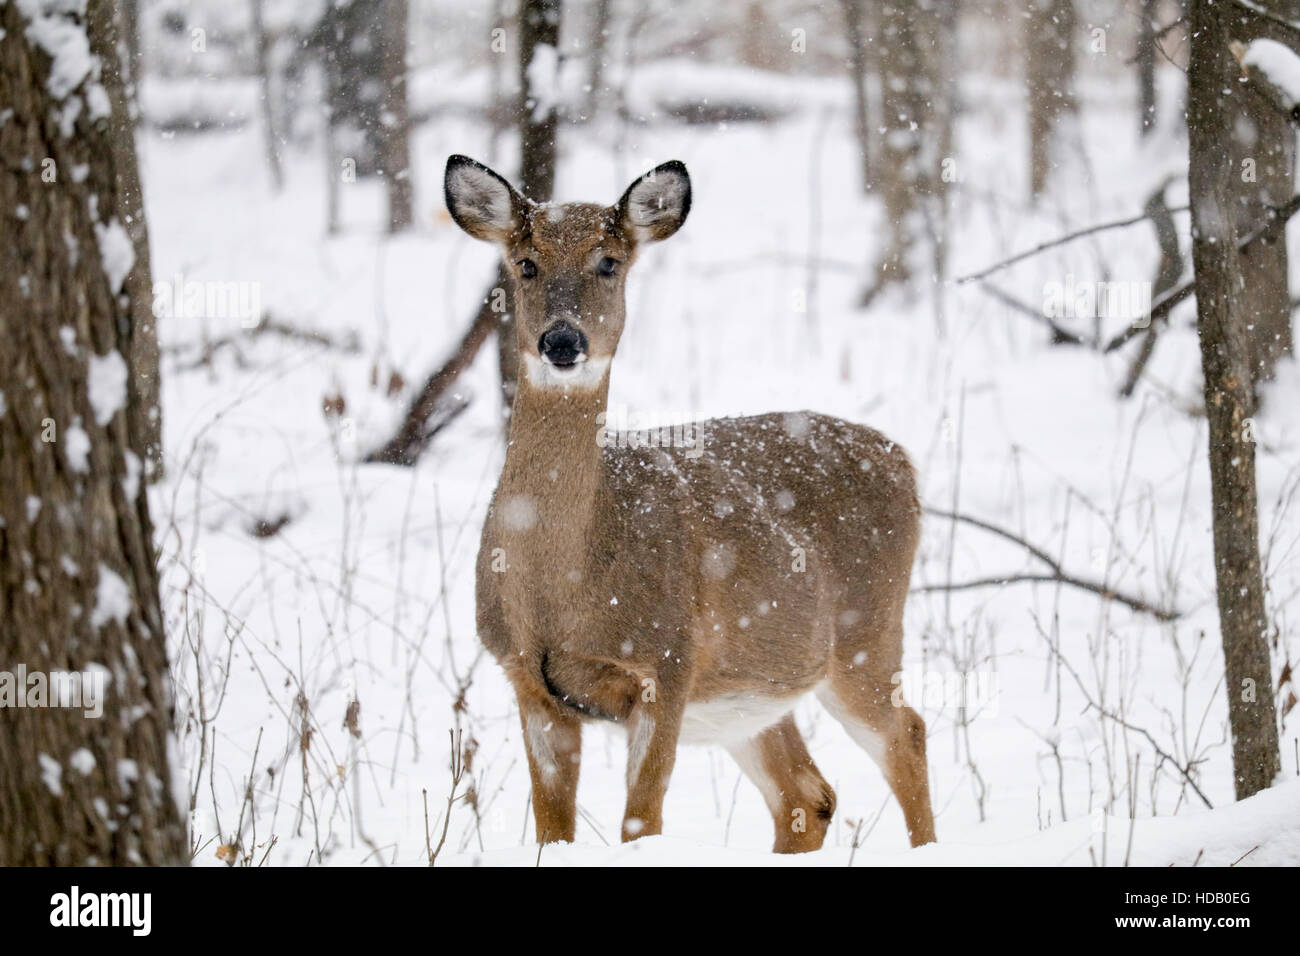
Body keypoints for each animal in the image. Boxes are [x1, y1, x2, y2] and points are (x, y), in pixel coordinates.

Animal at [447, 155, 935, 853]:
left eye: (609, 262)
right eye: (526, 263)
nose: (562, 341)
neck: (560, 588)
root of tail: (901, 459)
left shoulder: (666, 663)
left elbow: (641, 822)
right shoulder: (526, 680)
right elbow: (552, 830)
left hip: (866, 631)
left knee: (905, 735)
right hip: (749, 692)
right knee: (808, 794)